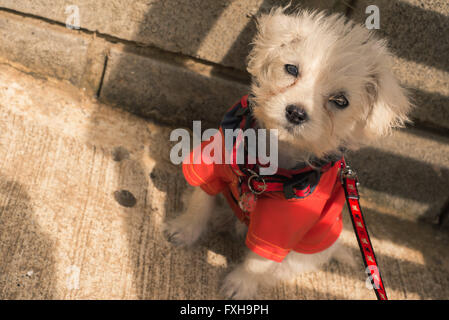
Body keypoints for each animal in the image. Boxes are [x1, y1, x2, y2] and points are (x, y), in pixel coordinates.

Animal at [164, 8, 410, 300]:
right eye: (291, 69)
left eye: (340, 101)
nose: (296, 113)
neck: (266, 165)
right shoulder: (211, 163)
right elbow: (201, 201)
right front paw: (185, 229)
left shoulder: (282, 226)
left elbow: (258, 261)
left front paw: (241, 284)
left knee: (278, 269)